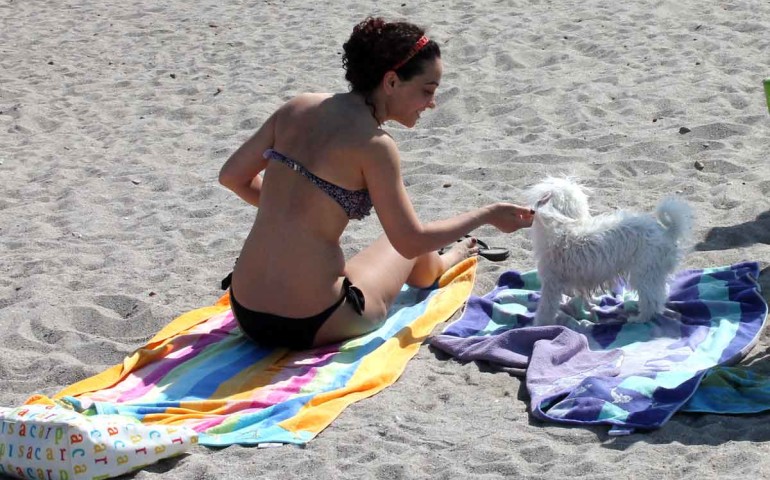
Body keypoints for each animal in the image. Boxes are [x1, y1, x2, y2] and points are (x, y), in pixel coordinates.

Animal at [524, 177, 692, 326]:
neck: (562, 226)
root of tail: (666, 232)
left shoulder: (551, 284)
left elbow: (545, 308)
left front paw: (539, 325)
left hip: (644, 273)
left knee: (652, 300)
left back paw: (639, 319)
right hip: (653, 273)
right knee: (660, 295)